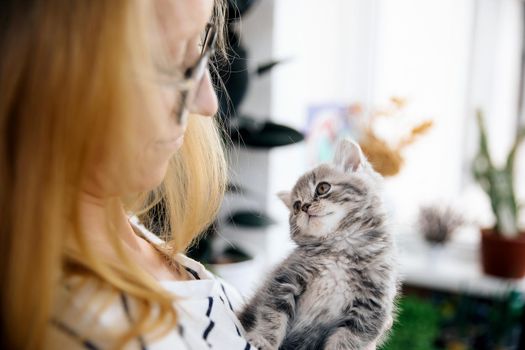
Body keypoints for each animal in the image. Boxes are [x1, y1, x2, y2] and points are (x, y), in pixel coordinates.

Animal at [237, 139, 398, 350]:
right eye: (296, 206)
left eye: (322, 188)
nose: (305, 206)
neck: (340, 249)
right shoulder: (283, 281)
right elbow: (272, 317)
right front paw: (264, 340)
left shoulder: (369, 311)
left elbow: (346, 342)